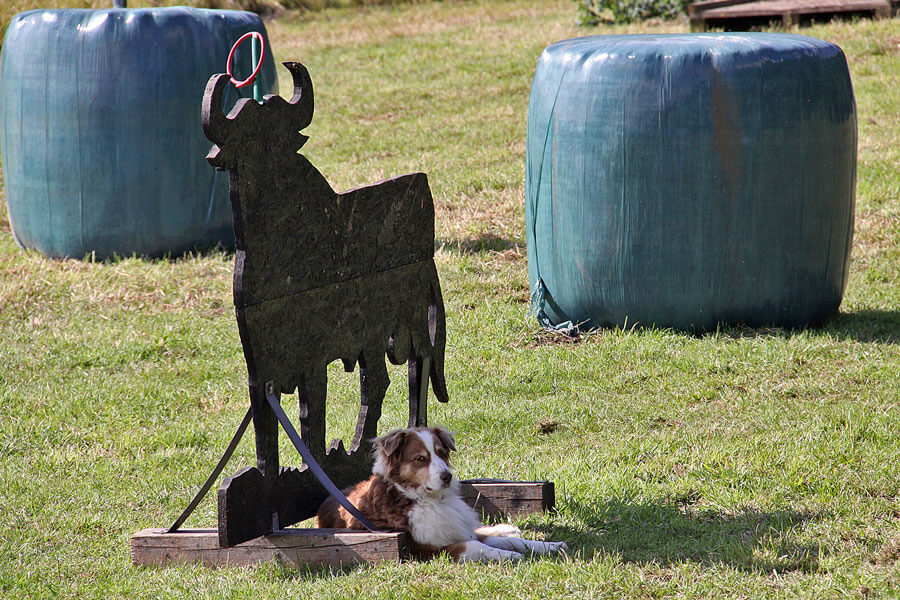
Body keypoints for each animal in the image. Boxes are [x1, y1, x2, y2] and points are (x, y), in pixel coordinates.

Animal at [320, 426, 568, 564]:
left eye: (441, 453)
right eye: (420, 458)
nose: (447, 476)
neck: (425, 499)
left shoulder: (457, 529)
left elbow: (513, 541)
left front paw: (549, 546)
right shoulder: (425, 549)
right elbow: (474, 545)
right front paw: (507, 556)